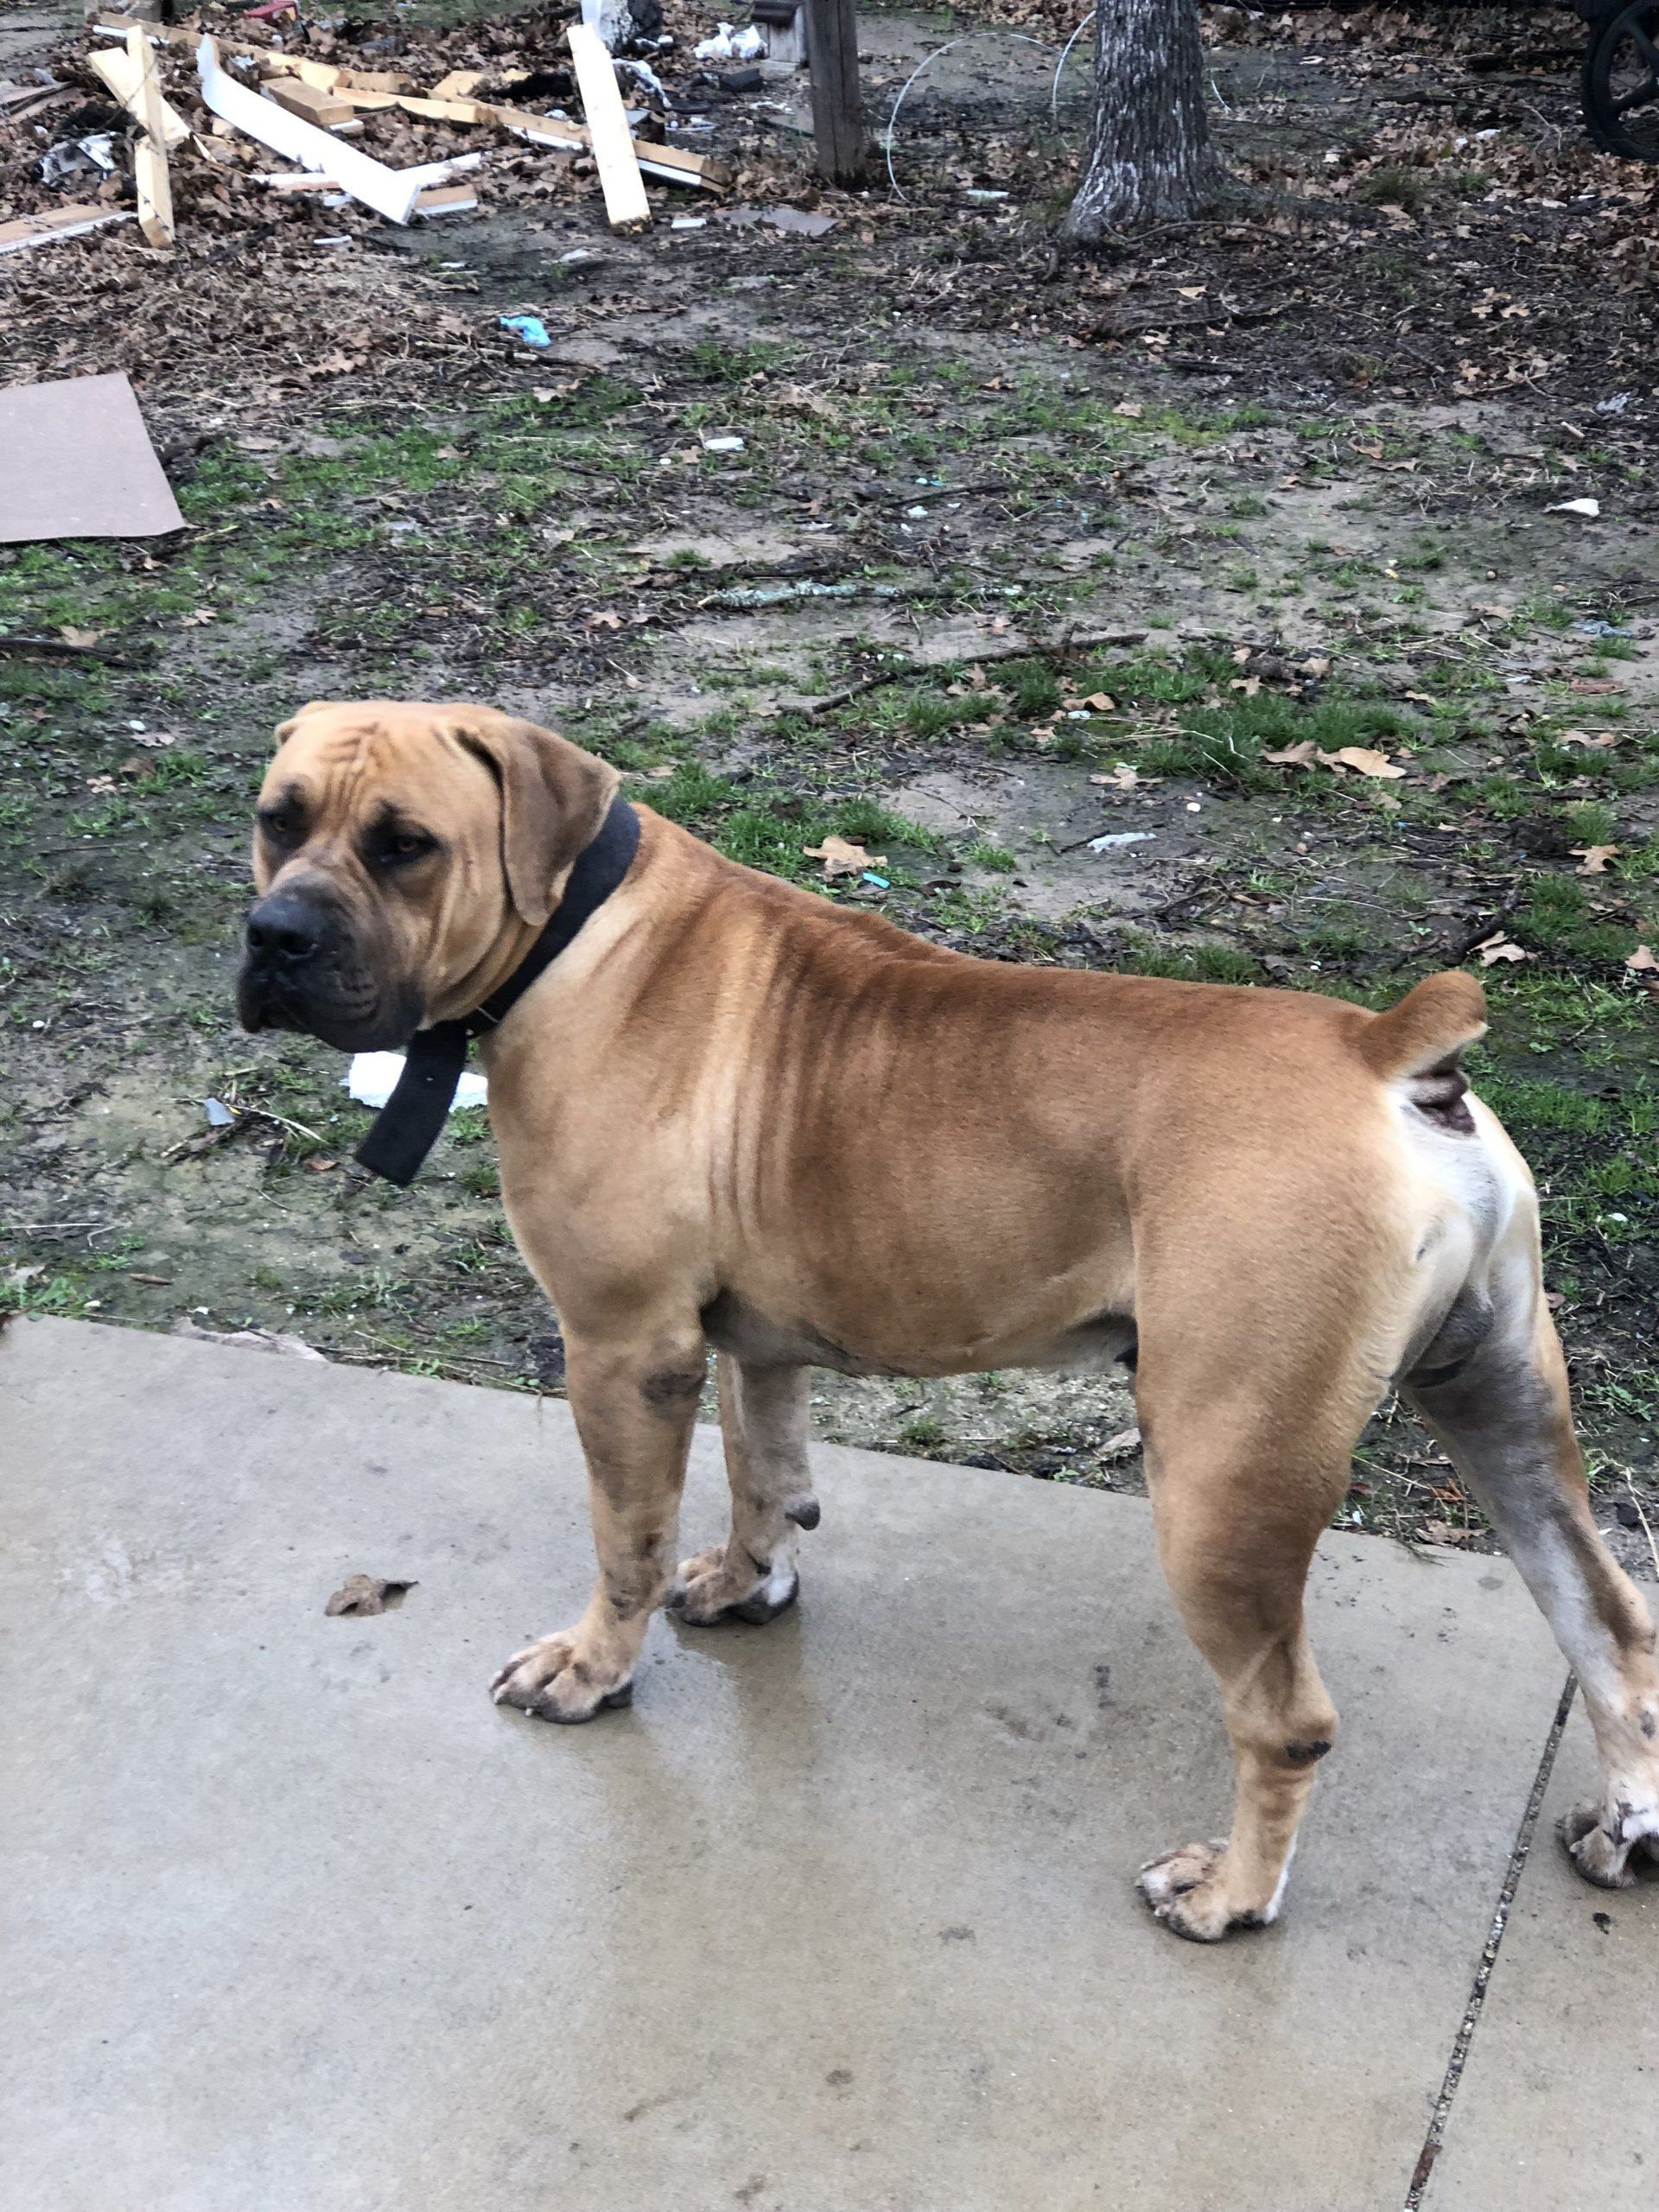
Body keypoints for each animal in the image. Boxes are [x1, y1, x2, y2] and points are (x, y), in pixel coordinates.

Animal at [236, 703, 1659, 1937]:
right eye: (276, 817)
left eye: (406, 843)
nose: (274, 935)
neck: (576, 928)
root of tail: (1387, 1056)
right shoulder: (749, 1341)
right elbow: (765, 1471)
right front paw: (750, 1584)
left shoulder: (624, 1351)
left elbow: (624, 1541)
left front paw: (594, 1668)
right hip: (1504, 1408)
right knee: (1612, 1628)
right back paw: (1624, 1829)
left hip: (1222, 1481)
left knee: (1290, 1720)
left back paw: (1230, 1896)